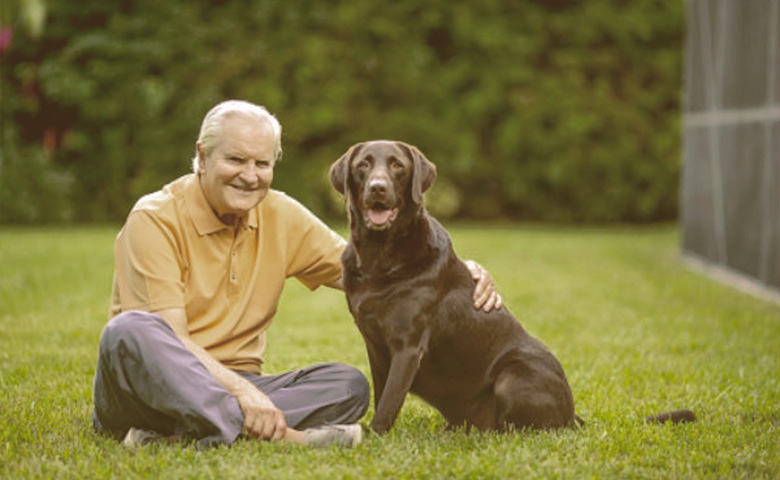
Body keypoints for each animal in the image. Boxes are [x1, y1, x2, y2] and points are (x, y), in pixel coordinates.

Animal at [330, 140, 580, 436]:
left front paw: (374, 437)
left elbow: (389, 402)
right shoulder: (375, 347)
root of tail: (573, 414)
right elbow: (382, 396)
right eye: (363, 165)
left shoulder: (407, 347)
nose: (377, 187)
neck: (378, 254)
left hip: (514, 375)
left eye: (397, 165)